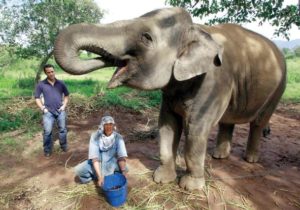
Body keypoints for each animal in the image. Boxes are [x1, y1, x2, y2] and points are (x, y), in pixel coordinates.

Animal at [53, 7, 286, 191]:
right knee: (227, 121)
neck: (197, 29)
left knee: (259, 122)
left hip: (278, 88)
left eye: (146, 38)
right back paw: (219, 157)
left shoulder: (214, 81)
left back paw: (250, 159)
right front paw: (161, 180)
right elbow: (167, 124)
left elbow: (196, 129)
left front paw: (190, 187)